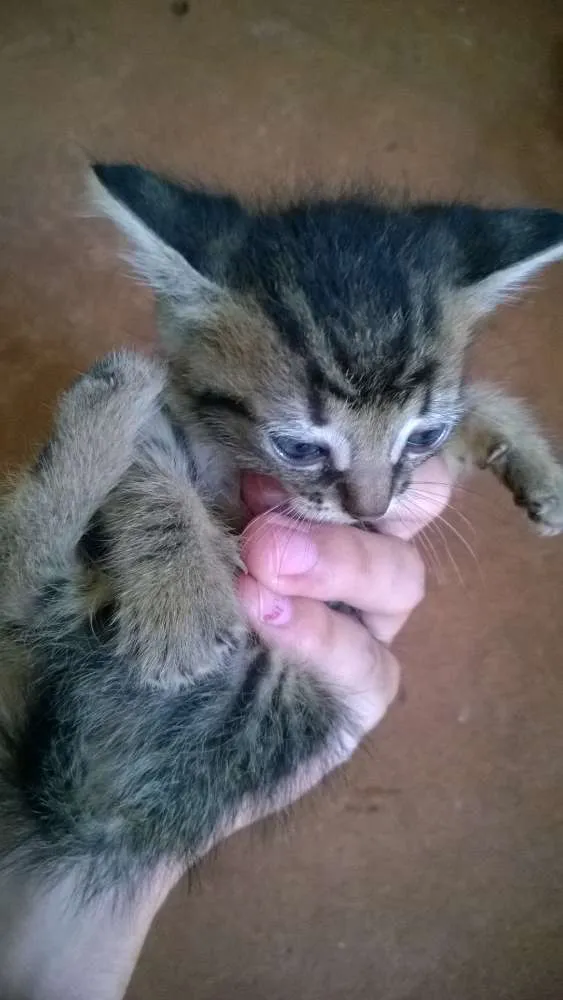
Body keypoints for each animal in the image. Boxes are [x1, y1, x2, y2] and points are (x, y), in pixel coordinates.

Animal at [1, 164, 563, 916]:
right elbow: (150, 460)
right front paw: (180, 597)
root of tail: (99, 809)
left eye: (422, 435)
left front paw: (529, 459)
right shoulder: (181, 416)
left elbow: (468, 407)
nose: (368, 508)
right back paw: (113, 394)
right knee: (21, 575)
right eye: (298, 446)